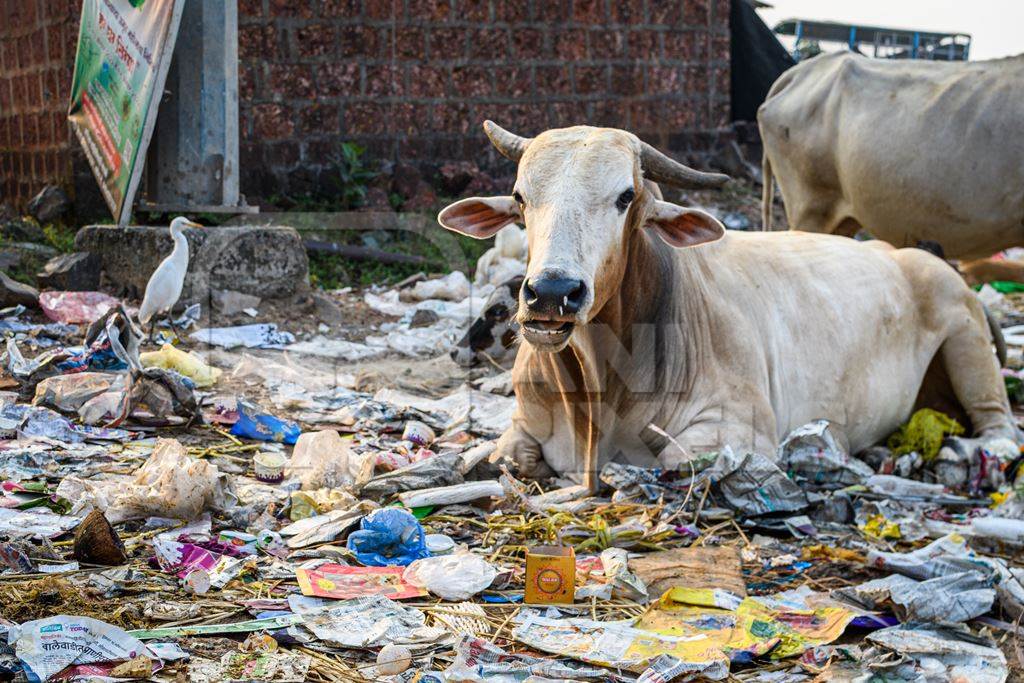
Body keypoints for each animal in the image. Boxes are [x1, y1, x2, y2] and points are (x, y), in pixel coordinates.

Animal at [434, 122, 1015, 485]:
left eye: (626, 197)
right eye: (520, 197)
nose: (553, 293)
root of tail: (906, 253)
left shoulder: (741, 431)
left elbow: (673, 457)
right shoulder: (521, 426)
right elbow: (509, 455)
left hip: (967, 337)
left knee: (998, 420)